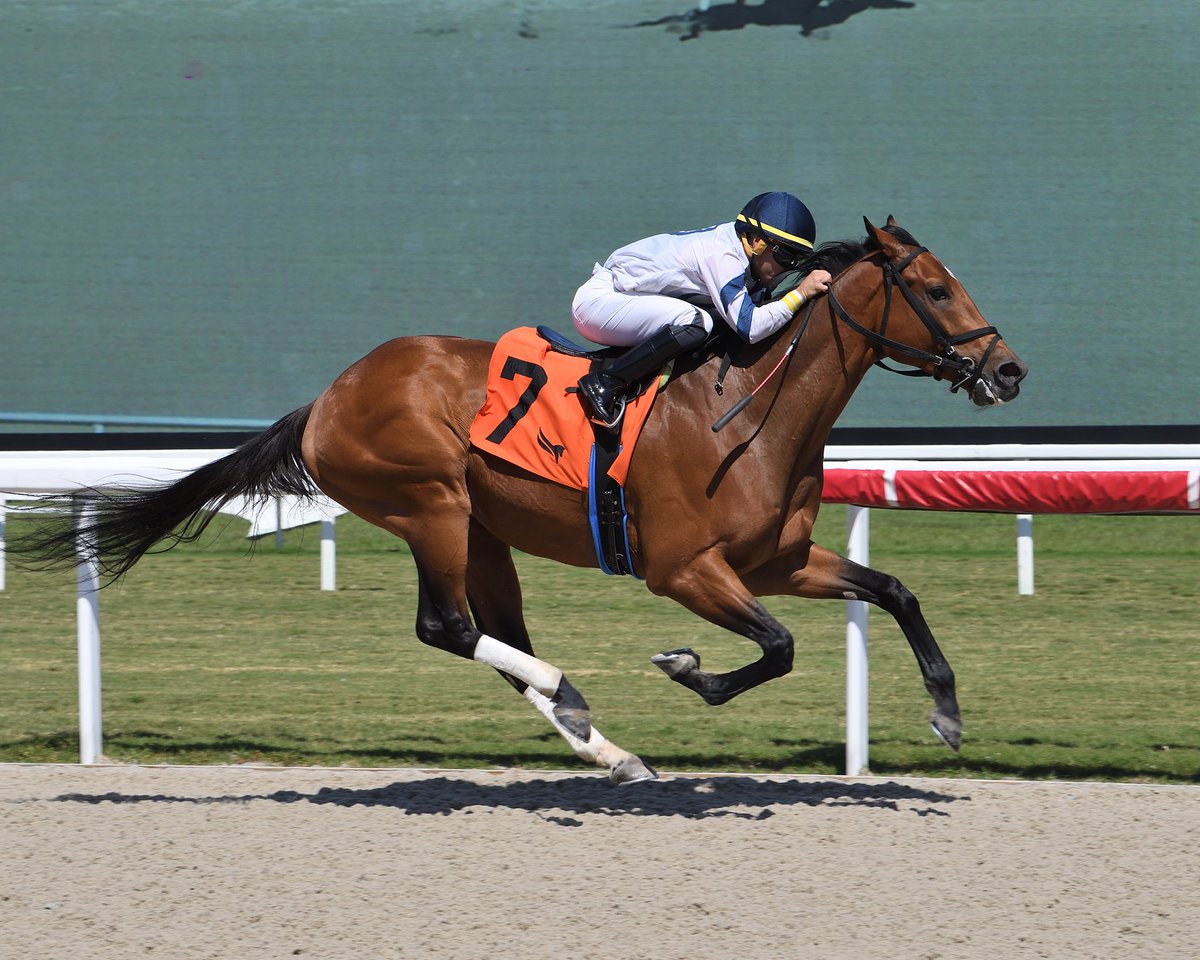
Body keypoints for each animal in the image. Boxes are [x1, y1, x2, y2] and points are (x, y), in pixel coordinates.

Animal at [25, 219, 1022, 787]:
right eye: (934, 288)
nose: (1008, 369)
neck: (749, 405)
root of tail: (330, 396)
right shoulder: (683, 570)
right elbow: (775, 649)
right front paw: (687, 669)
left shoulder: (773, 559)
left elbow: (893, 591)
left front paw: (946, 712)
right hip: (429, 503)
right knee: (448, 627)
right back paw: (569, 692)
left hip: (483, 532)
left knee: (495, 639)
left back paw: (600, 741)